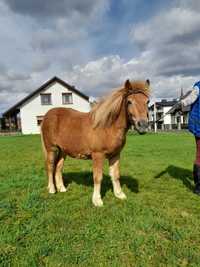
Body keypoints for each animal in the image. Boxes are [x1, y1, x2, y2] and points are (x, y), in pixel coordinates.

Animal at [40, 79, 150, 207]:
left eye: (147, 101)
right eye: (129, 102)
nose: (143, 125)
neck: (108, 127)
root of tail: (47, 116)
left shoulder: (115, 155)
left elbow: (115, 175)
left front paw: (119, 194)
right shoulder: (98, 155)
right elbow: (98, 177)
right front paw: (97, 200)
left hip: (63, 151)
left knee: (58, 167)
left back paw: (62, 188)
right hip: (51, 149)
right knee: (50, 166)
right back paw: (52, 189)